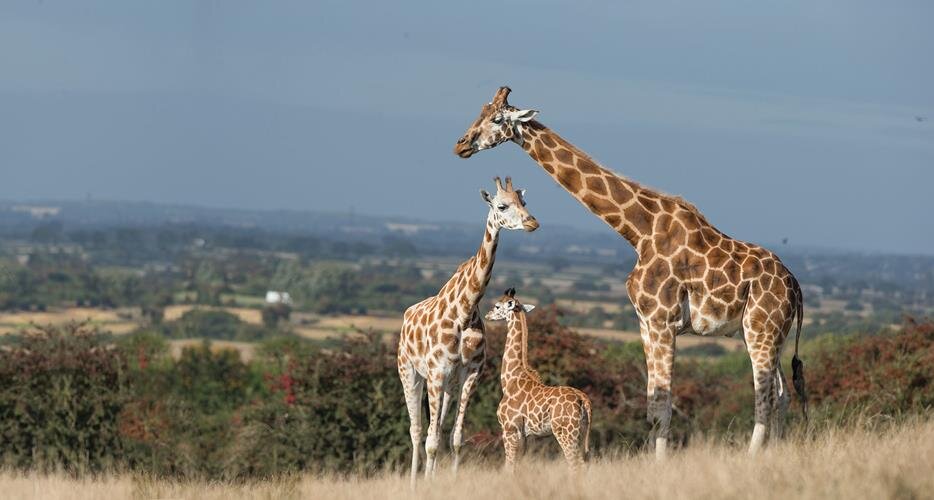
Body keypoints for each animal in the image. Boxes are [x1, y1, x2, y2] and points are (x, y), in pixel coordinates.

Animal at [490, 288, 592, 470]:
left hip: (565, 431)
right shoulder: (525, 435)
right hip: (582, 432)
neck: (509, 380)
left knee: (575, 464)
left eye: (497, 306)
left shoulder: (509, 429)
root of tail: (584, 400)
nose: (487, 315)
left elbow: (508, 466)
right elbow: (517, 467)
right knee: (586, 462)